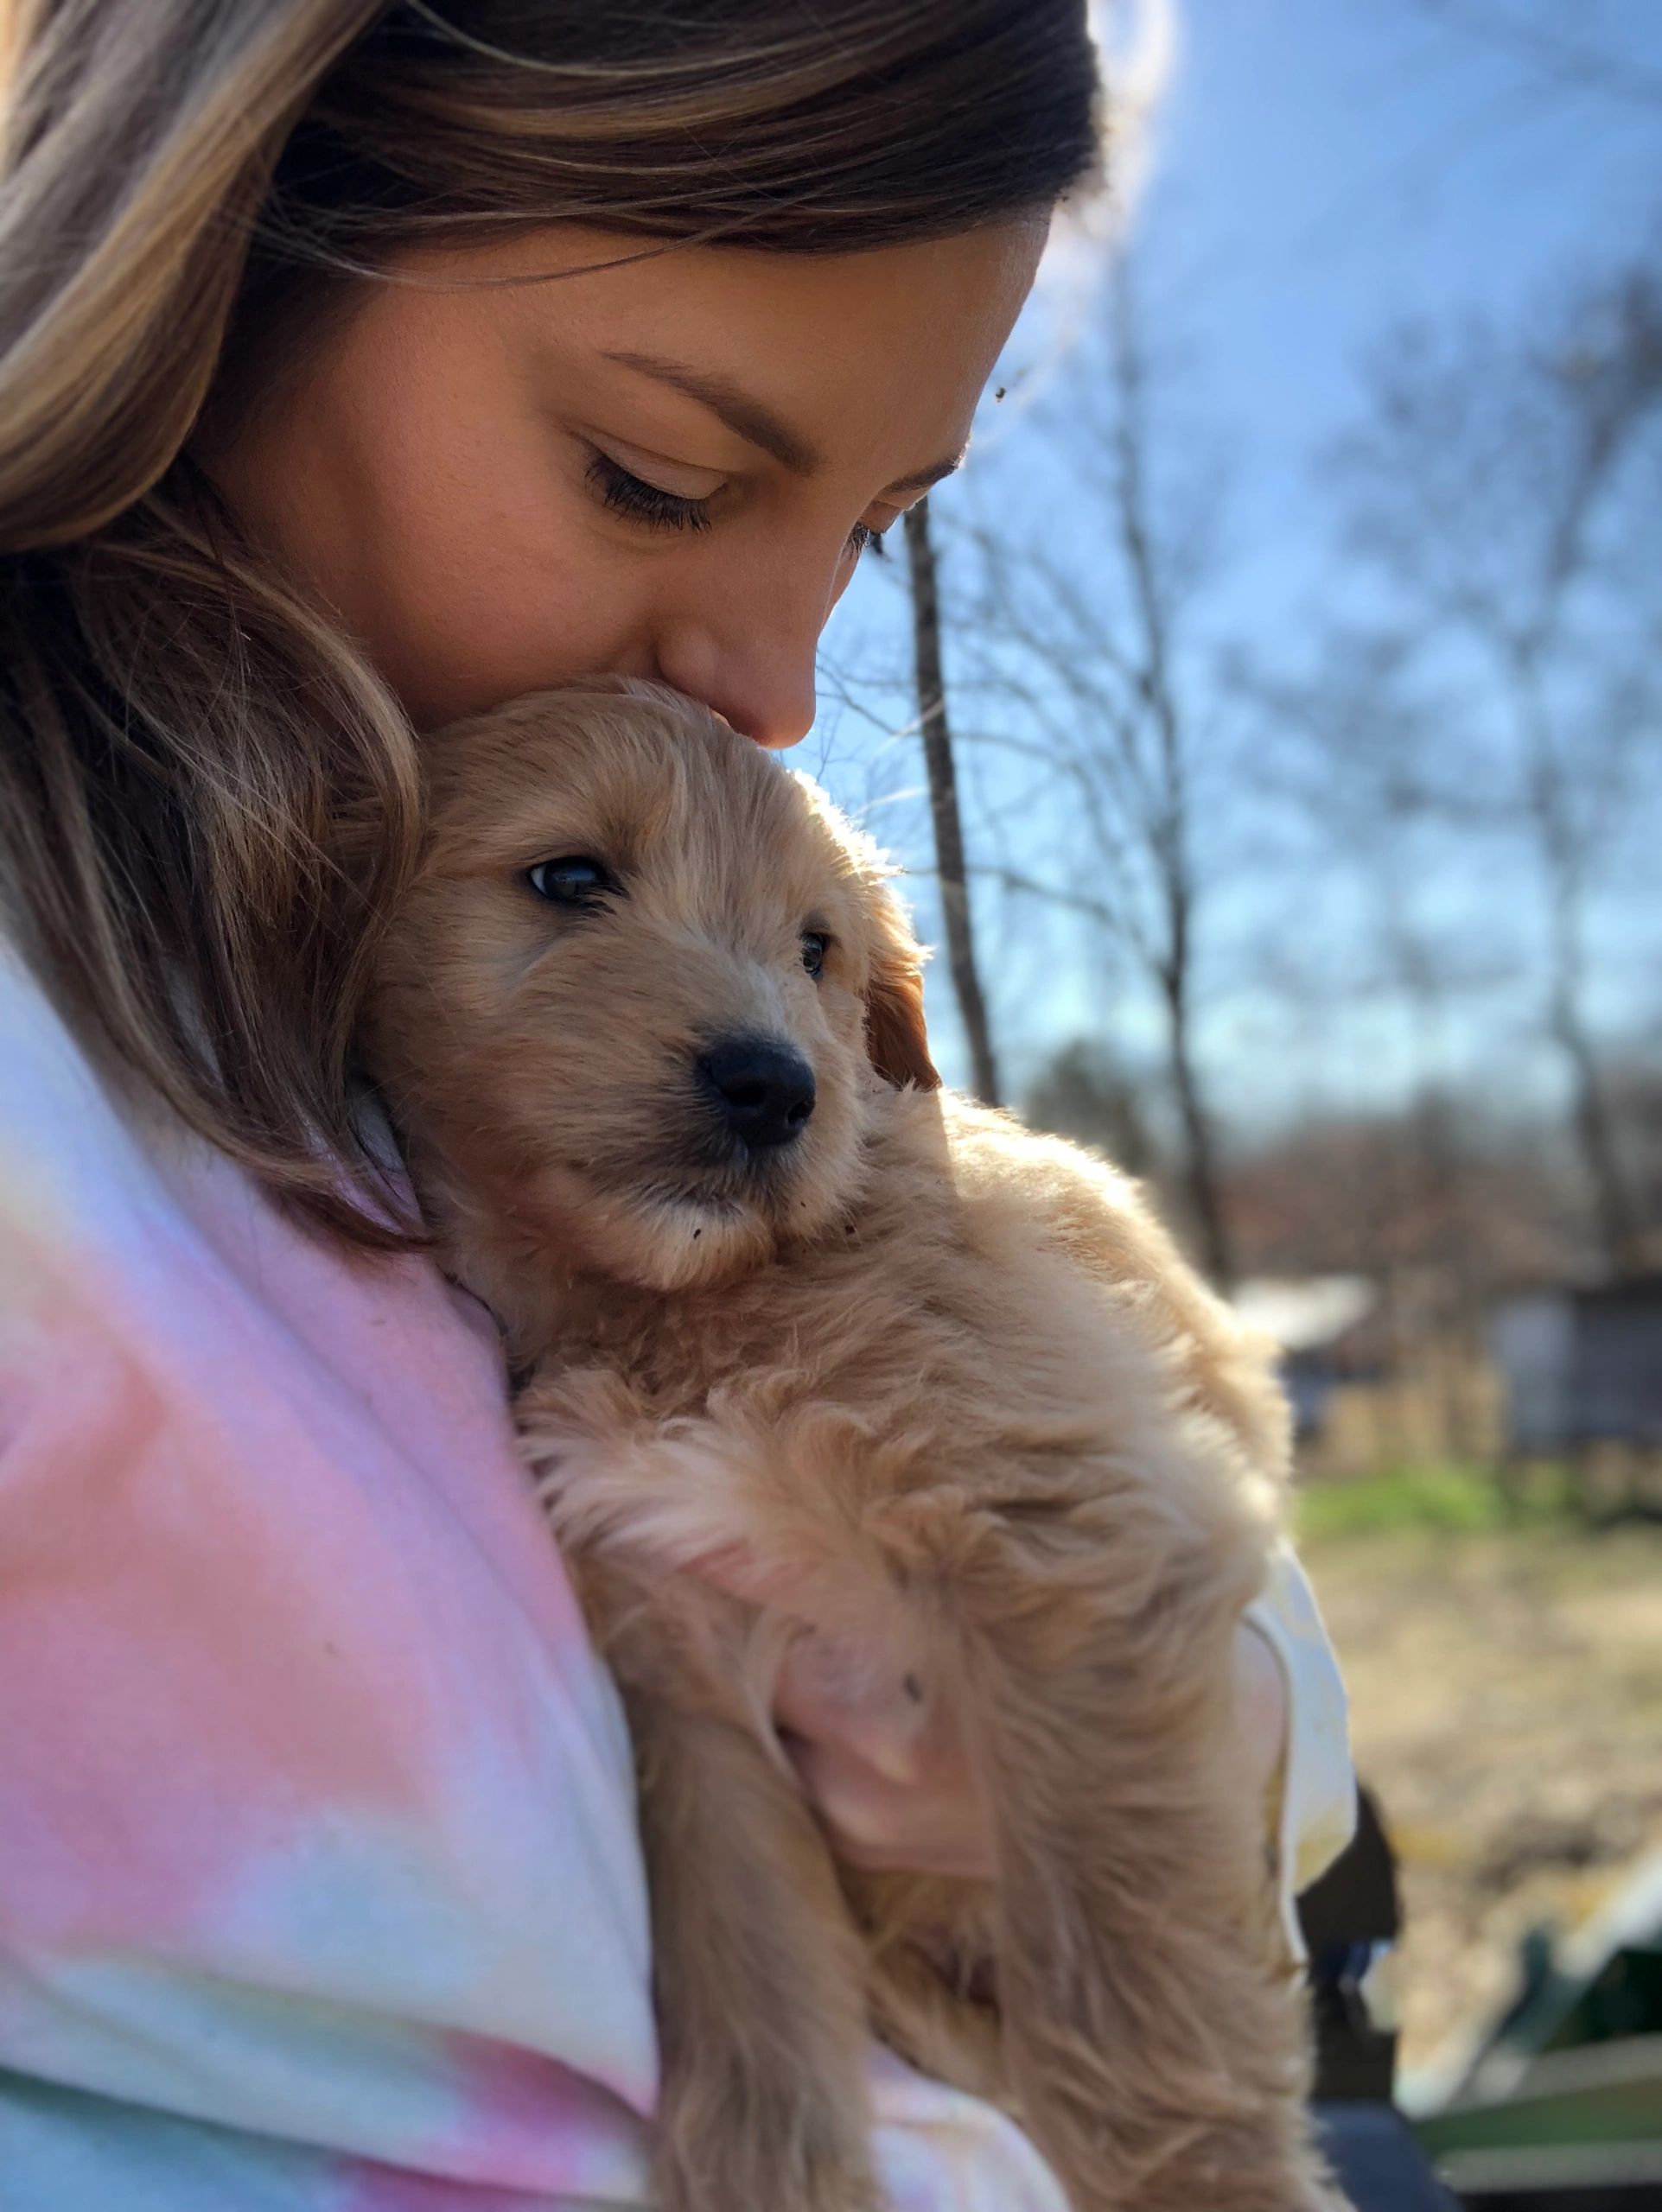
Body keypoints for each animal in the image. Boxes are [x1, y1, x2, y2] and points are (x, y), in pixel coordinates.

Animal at [360, 681, 1336, 2212]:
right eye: (569, 879)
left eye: (814, 949)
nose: (773, 1086)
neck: (670, 1310)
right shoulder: (684, 1678)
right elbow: (751, 1975)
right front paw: (775, 2172)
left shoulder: (1077, 1562)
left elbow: (1127, 1999)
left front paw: (1201, 2185)